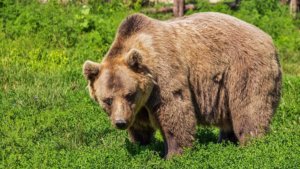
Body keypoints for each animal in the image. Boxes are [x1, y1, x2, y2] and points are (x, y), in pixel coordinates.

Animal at [82, 12, 282, 158]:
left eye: (129, 94)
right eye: (107, 100)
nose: (120, 122)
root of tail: (269, 39)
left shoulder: (164, 75)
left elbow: (175, 111)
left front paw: (173, 154)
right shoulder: (138, 106)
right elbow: (139, 126)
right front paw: (139, 145)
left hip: (244, 69)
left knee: (249, 108)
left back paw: (251, 144)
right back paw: (226, 141)